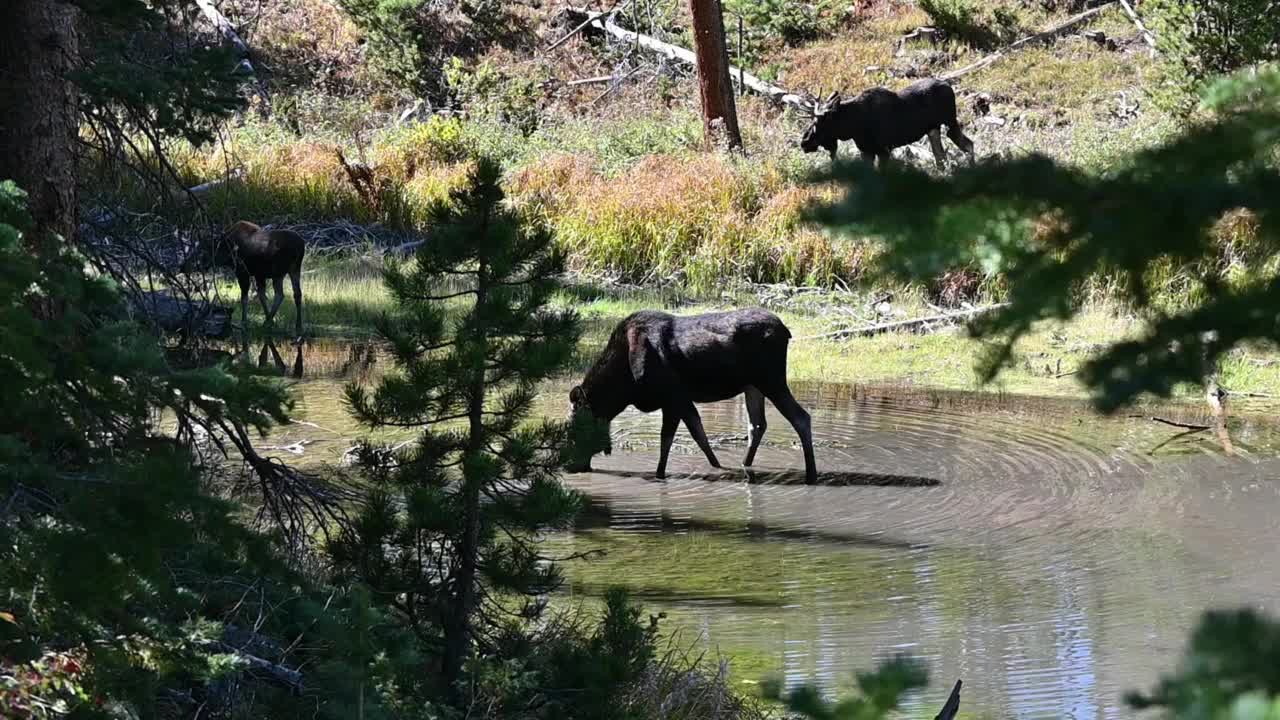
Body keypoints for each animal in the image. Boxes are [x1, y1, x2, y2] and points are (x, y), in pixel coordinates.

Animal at [570, 308, 819, 481]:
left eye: (573, 429)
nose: (571, 466)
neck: (624, 388)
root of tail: (786, 331)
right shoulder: (681, 399)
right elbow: (699, 433)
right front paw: (717, 466)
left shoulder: (671, 397)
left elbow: (667, 440)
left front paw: (659, 475)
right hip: (752, 385)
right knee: (757, 424)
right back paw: (745, 464)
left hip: (771, 380)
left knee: (801, 417)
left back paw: (812, 474)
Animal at [803, 76, 972, 166]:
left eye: (819, 123)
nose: (804, 142)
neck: (853, 126)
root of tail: (949, 86)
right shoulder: (866, 152)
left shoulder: (884, 151)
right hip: (933, 129)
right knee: (941, 157)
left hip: (950, 121)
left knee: (967, 144)